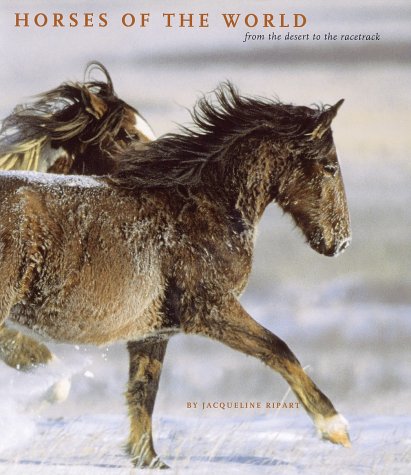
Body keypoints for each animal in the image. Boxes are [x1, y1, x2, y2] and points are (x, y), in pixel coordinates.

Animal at [0, 84, 354, 468]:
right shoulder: (210, 310)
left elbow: (144, 392)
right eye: (330, 166)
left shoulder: (153, 331)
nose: (341, 241)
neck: (203, 206)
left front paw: (149, 460)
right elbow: (278, 349)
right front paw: (335, 428)